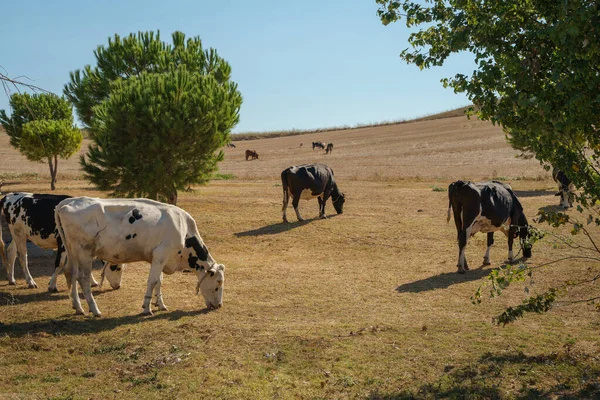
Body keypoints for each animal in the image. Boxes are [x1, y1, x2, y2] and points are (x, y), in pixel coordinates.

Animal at [55, 196, 224, 316]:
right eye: (218, 283)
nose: (219, 305)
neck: (183, 229)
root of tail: (69, 201)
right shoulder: (161, 255)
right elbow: (152, 281)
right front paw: (147, 308)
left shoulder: (159, 259)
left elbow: (159, 282)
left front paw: (160, 305)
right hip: (84, 253)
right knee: (83, 278)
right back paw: (95, 310)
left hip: (71, 252)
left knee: (70, 273)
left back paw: (78, 307)